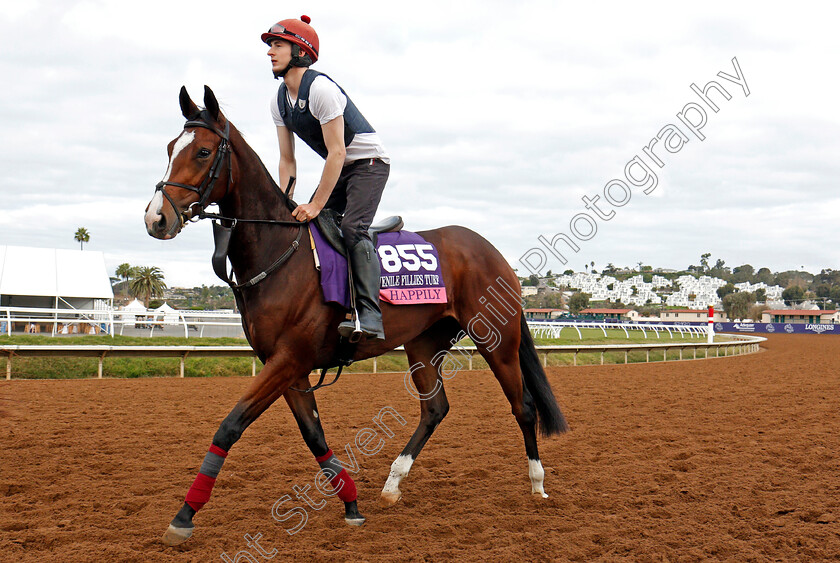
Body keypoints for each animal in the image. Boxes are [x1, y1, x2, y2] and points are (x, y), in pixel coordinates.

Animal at [146, 87, 572, 548]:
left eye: (204, 151)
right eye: (169, 149)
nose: (156, 218)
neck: (281, 253)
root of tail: (493, 252)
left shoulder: (288, 360)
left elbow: (229, 426)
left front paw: (184, 515)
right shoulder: (288, 367)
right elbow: (314, 436)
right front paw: (350, 504)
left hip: (496, 339)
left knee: (523, 406)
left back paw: (537, 484)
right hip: (425, 342)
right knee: (435, 409)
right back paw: (393, 483)